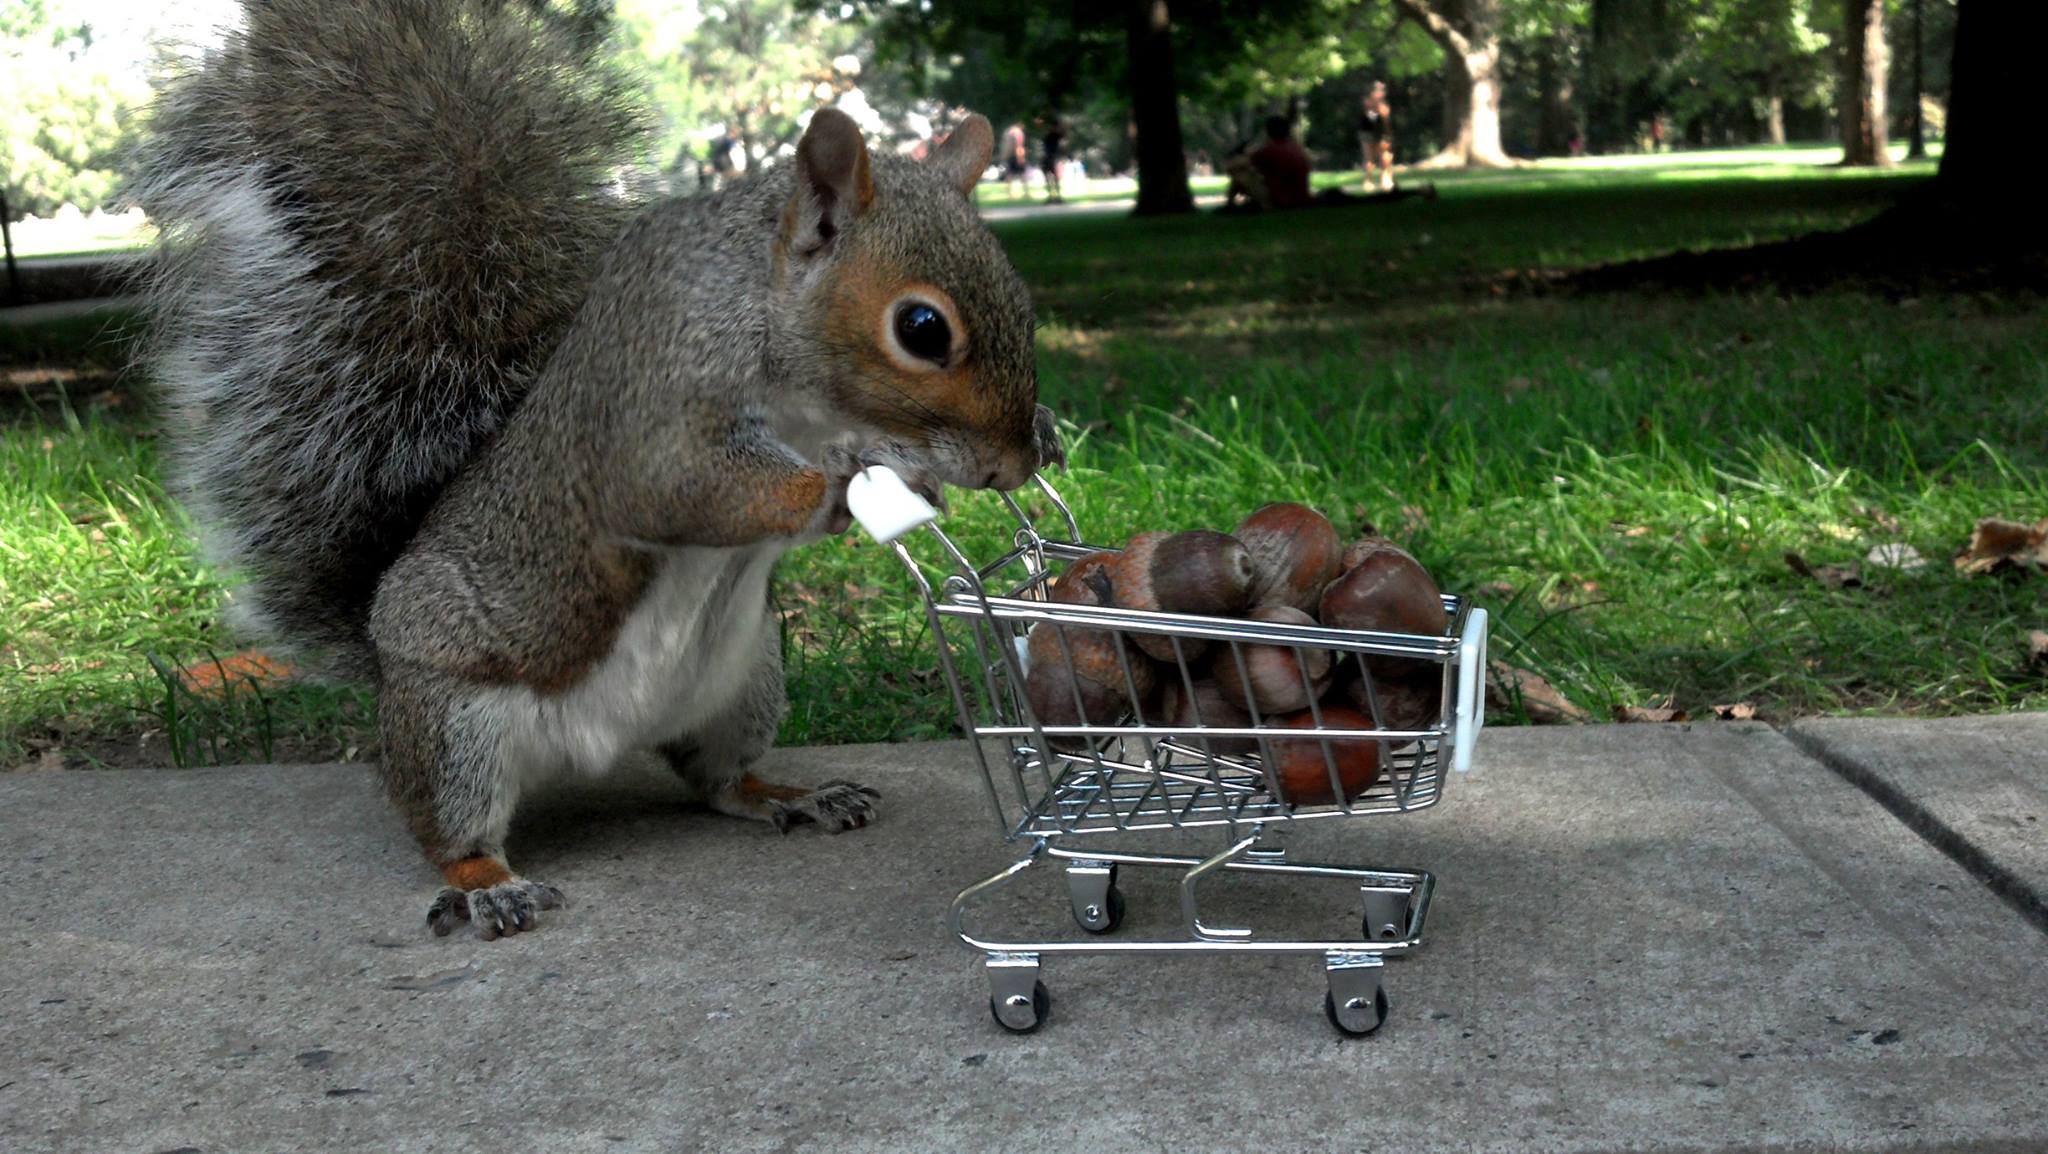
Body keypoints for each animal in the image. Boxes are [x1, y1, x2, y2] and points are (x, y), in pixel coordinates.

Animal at [138, 0, 1064, 938]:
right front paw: (843, 485)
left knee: (715, 780)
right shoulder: (651, 417)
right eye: (921, 328)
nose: (1013, 464)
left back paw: (789, 795)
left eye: (1022, 300)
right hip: (455, 724)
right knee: (449, 828)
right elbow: (692, 490)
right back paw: (491, 885)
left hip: (749, 679)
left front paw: (1041, 433)